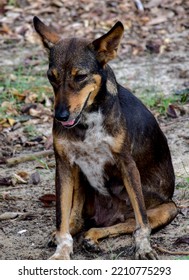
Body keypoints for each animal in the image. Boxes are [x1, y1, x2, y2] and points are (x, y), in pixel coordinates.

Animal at [33, 16, 178, 260]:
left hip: (169, 208)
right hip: (79, 180)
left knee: (126, 223)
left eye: (80, 77)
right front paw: (62, 250)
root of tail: (106, 217)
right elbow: (62, 218)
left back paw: (93, 237)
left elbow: (142, 223)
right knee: (77, 219)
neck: (87, 120)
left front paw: (143, 247)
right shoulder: (63, 165)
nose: (60, 116)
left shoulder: (127, 164)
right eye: (51, 78)